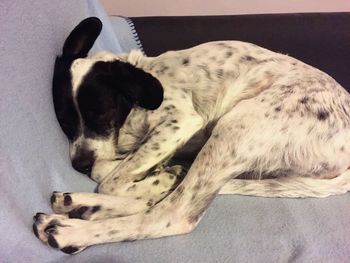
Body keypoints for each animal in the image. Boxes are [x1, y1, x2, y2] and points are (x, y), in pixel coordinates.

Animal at [32, 17, 350, 256]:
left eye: (102, 114)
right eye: (65, 122)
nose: (79, 165)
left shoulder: (180, 121)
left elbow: (109, 179)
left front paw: (147, 177)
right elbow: (112, 172)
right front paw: (154, 176)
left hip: (233, 126)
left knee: (169, 214)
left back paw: (74, 229)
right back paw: (85, 205)